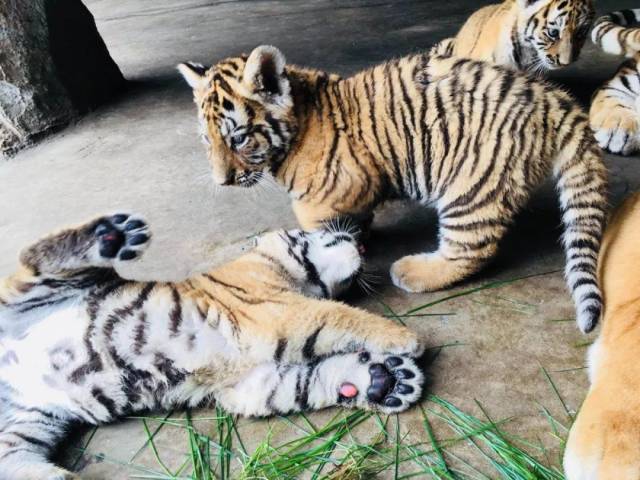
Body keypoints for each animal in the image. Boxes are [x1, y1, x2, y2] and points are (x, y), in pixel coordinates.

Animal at [0, 213, 424, 479]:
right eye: (315, 235)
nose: (359, 241)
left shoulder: (245, 384)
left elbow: (310, 381)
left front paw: (387, 382)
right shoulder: (270, 313)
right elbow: (339, 315)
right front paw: (407, 339)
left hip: (29, 421)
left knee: (12, 460)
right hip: (33, 290)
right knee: (36, 255)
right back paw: (113, 235)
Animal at [178, 45, 608, 334]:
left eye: (238, 139)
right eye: (206, 140)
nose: (222, 181)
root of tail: (554, 100)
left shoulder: (331, 192)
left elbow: (318, 231)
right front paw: (356, 237)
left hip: (471, 184)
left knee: (472, 249)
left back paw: (413, 271)